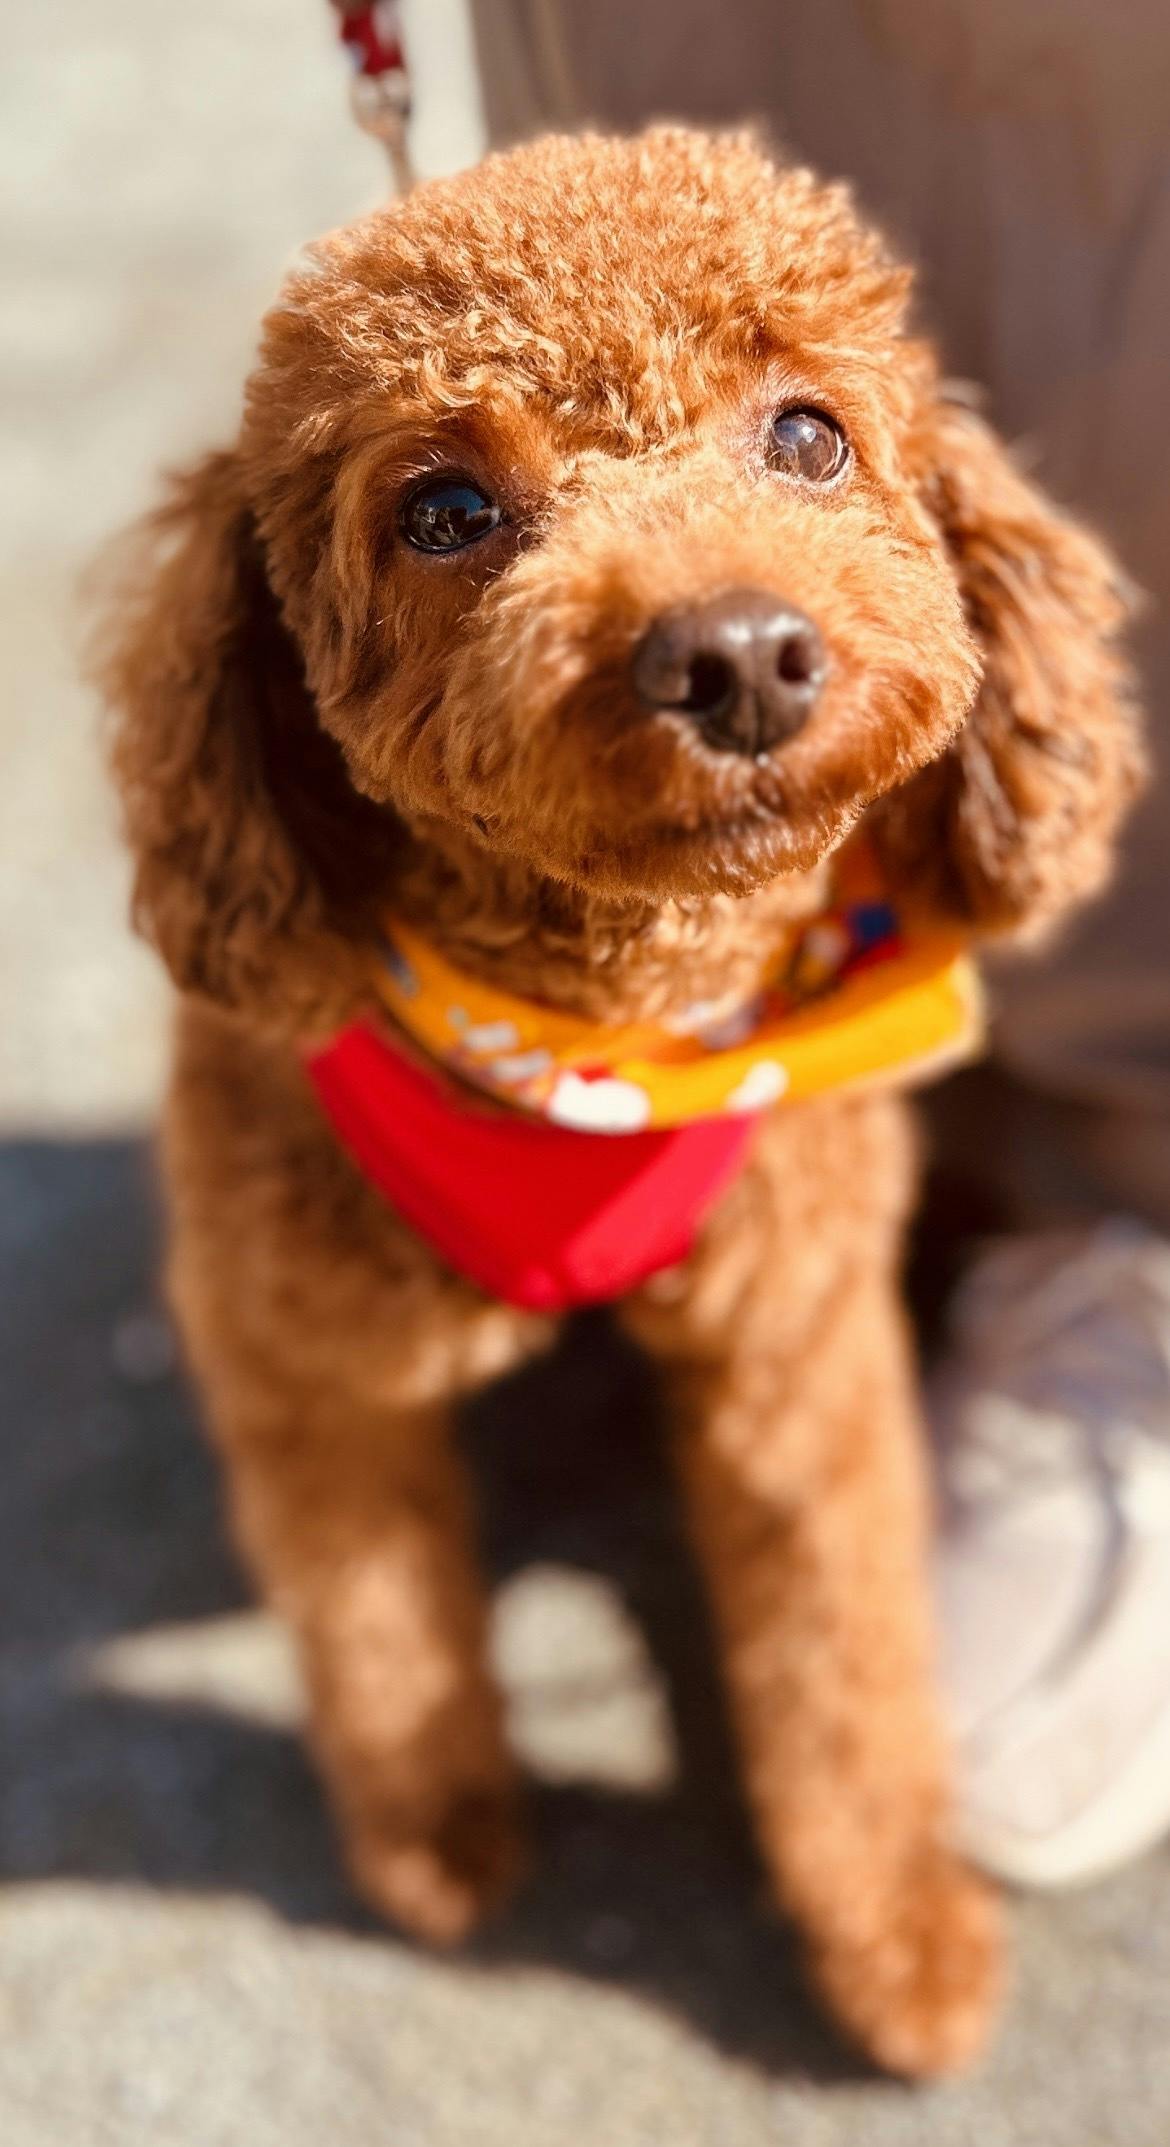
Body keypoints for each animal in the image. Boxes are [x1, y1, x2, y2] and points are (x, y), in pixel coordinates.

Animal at [94, 127, 1141, 2075]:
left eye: (806, 435)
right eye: (441, 511)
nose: (736, 654)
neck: (598, 1052)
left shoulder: (795, 1342)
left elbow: (841, 1653)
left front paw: (894, 1934)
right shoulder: (302, 1359)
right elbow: (379, 1624)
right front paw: (435, 1839)